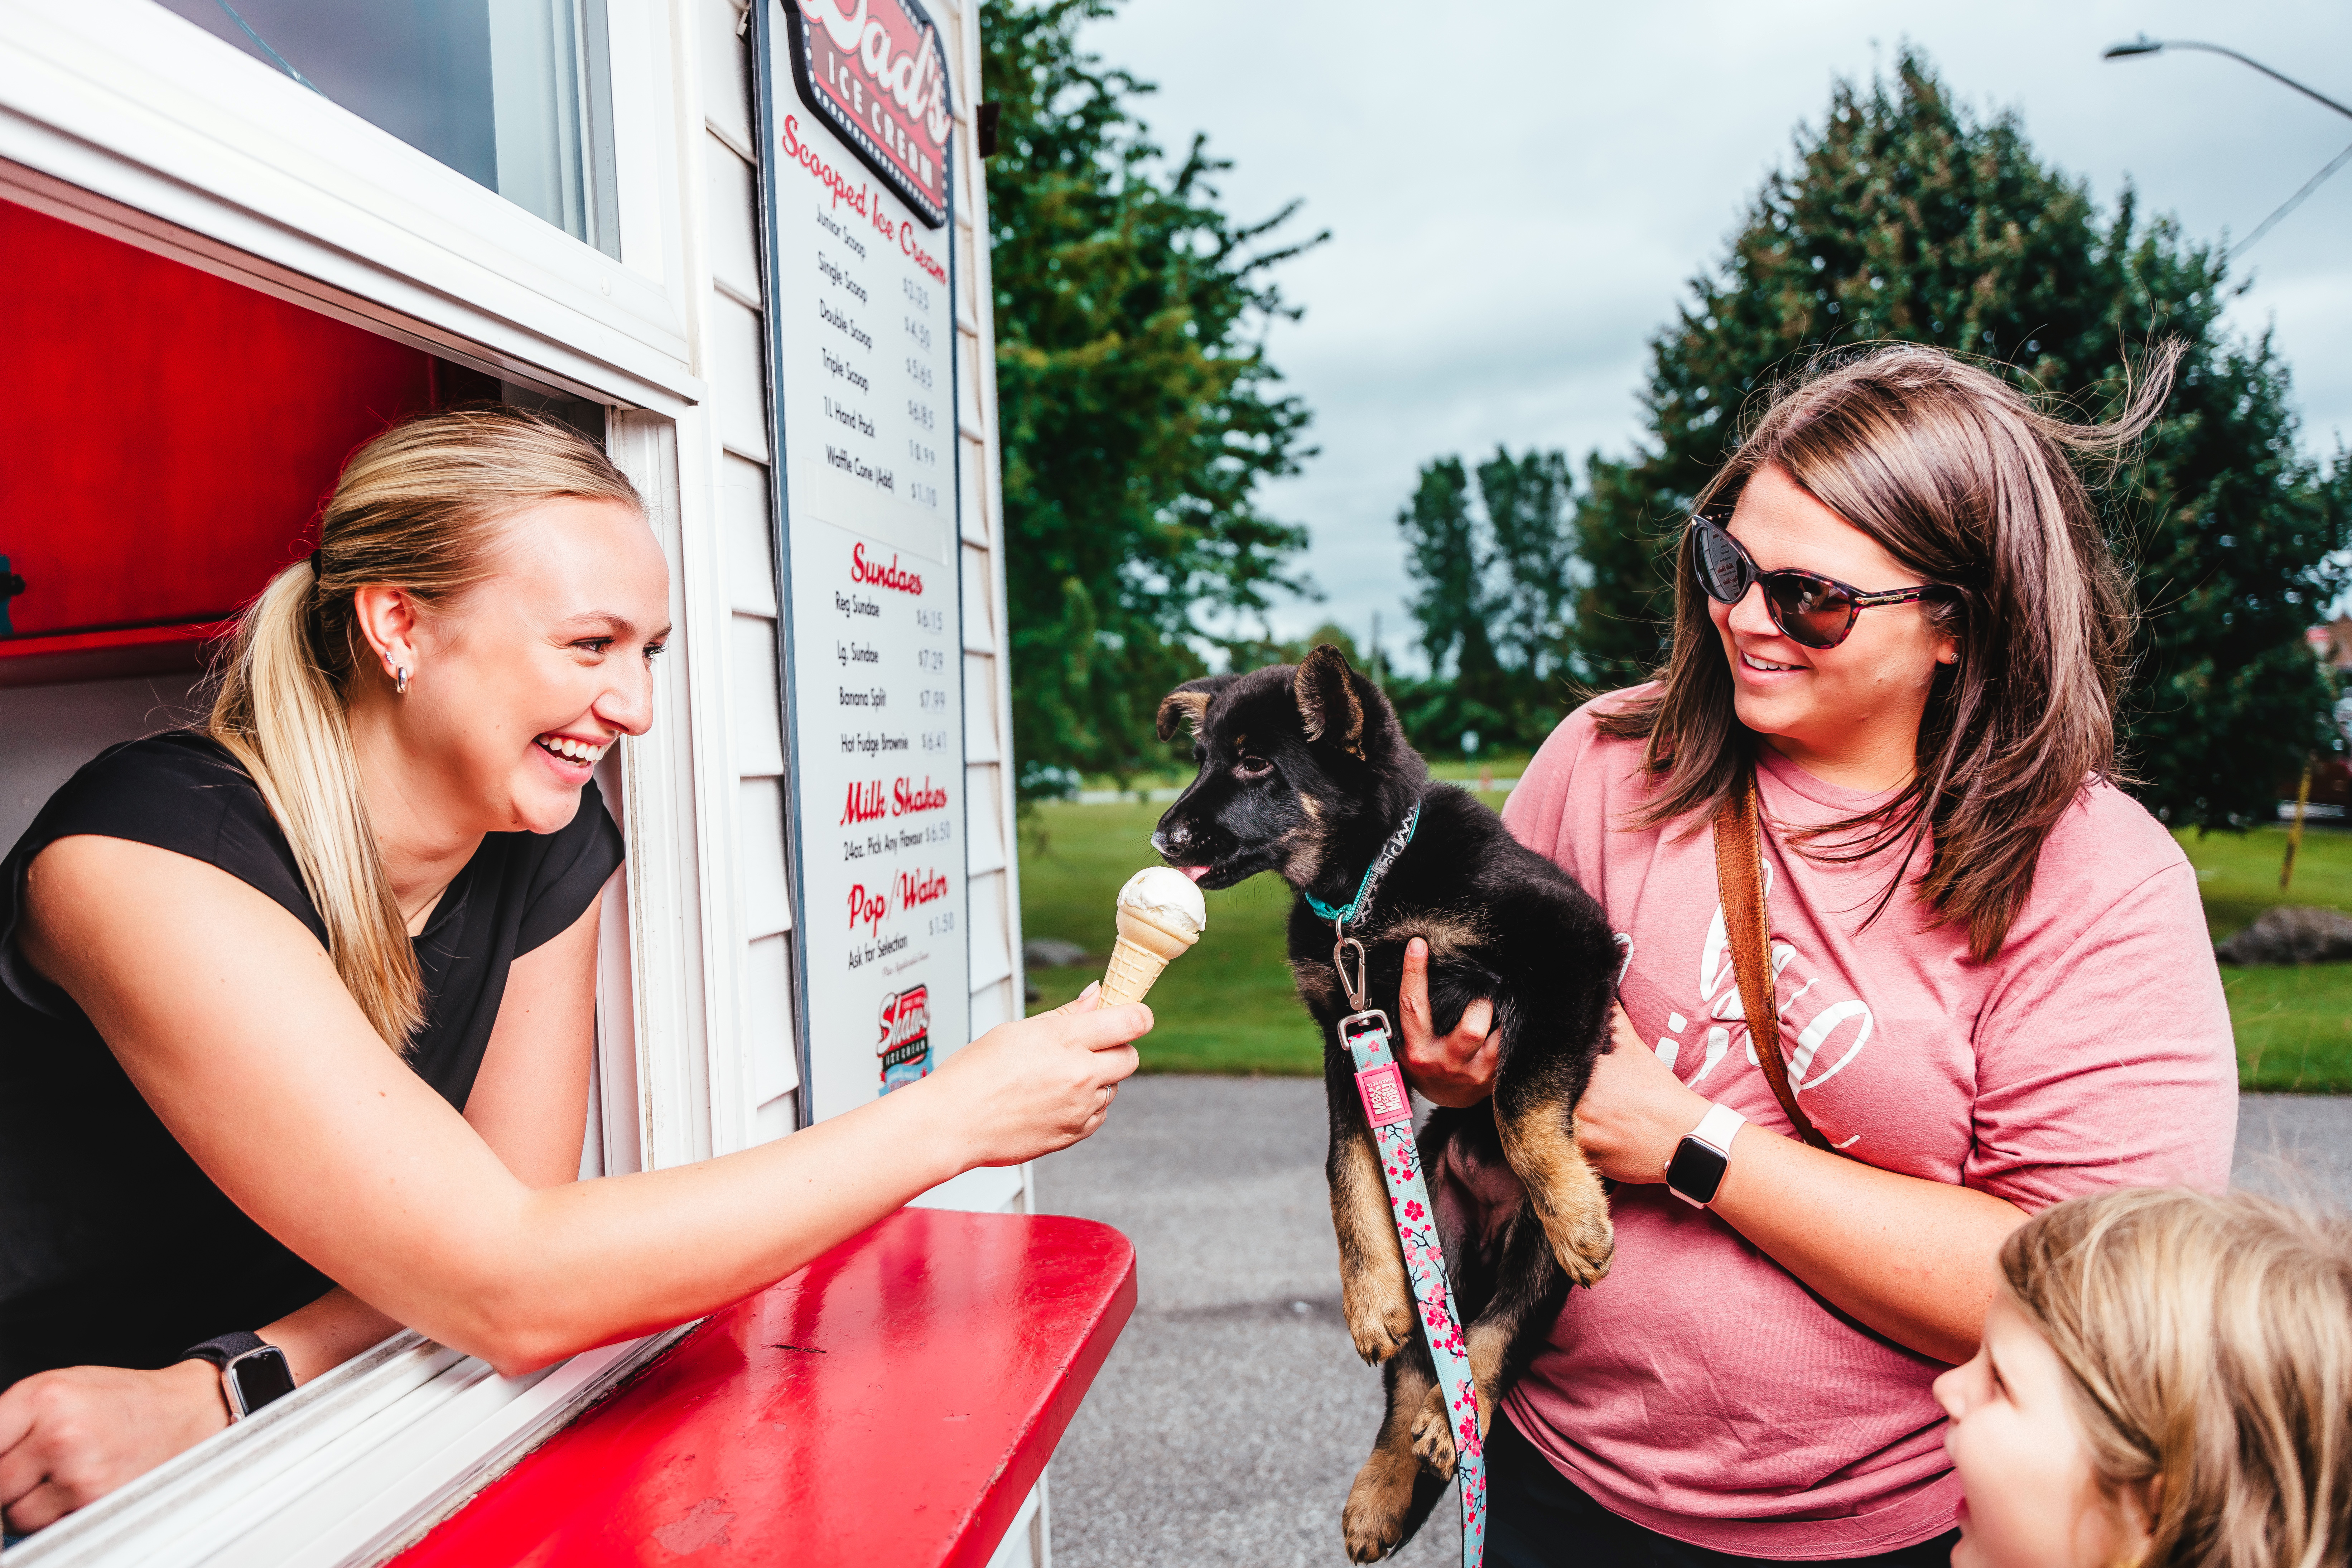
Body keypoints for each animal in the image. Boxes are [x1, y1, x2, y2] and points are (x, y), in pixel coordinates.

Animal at [1148, 649, 1628, 1561]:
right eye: (1200, 758)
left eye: (1255, 763)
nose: (1161, 837)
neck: (1364, 891)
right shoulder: (1346, 1032)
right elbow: (1343, 1167)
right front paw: (1367, 1297)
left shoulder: (1570, 947)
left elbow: (1520, 1105)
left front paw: (1576, 1206)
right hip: (1432, 1224)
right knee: (1419, 1362)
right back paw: (1384, 1485)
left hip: (1534, 1260)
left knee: (1500, 1326)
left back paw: (1452, 1414)